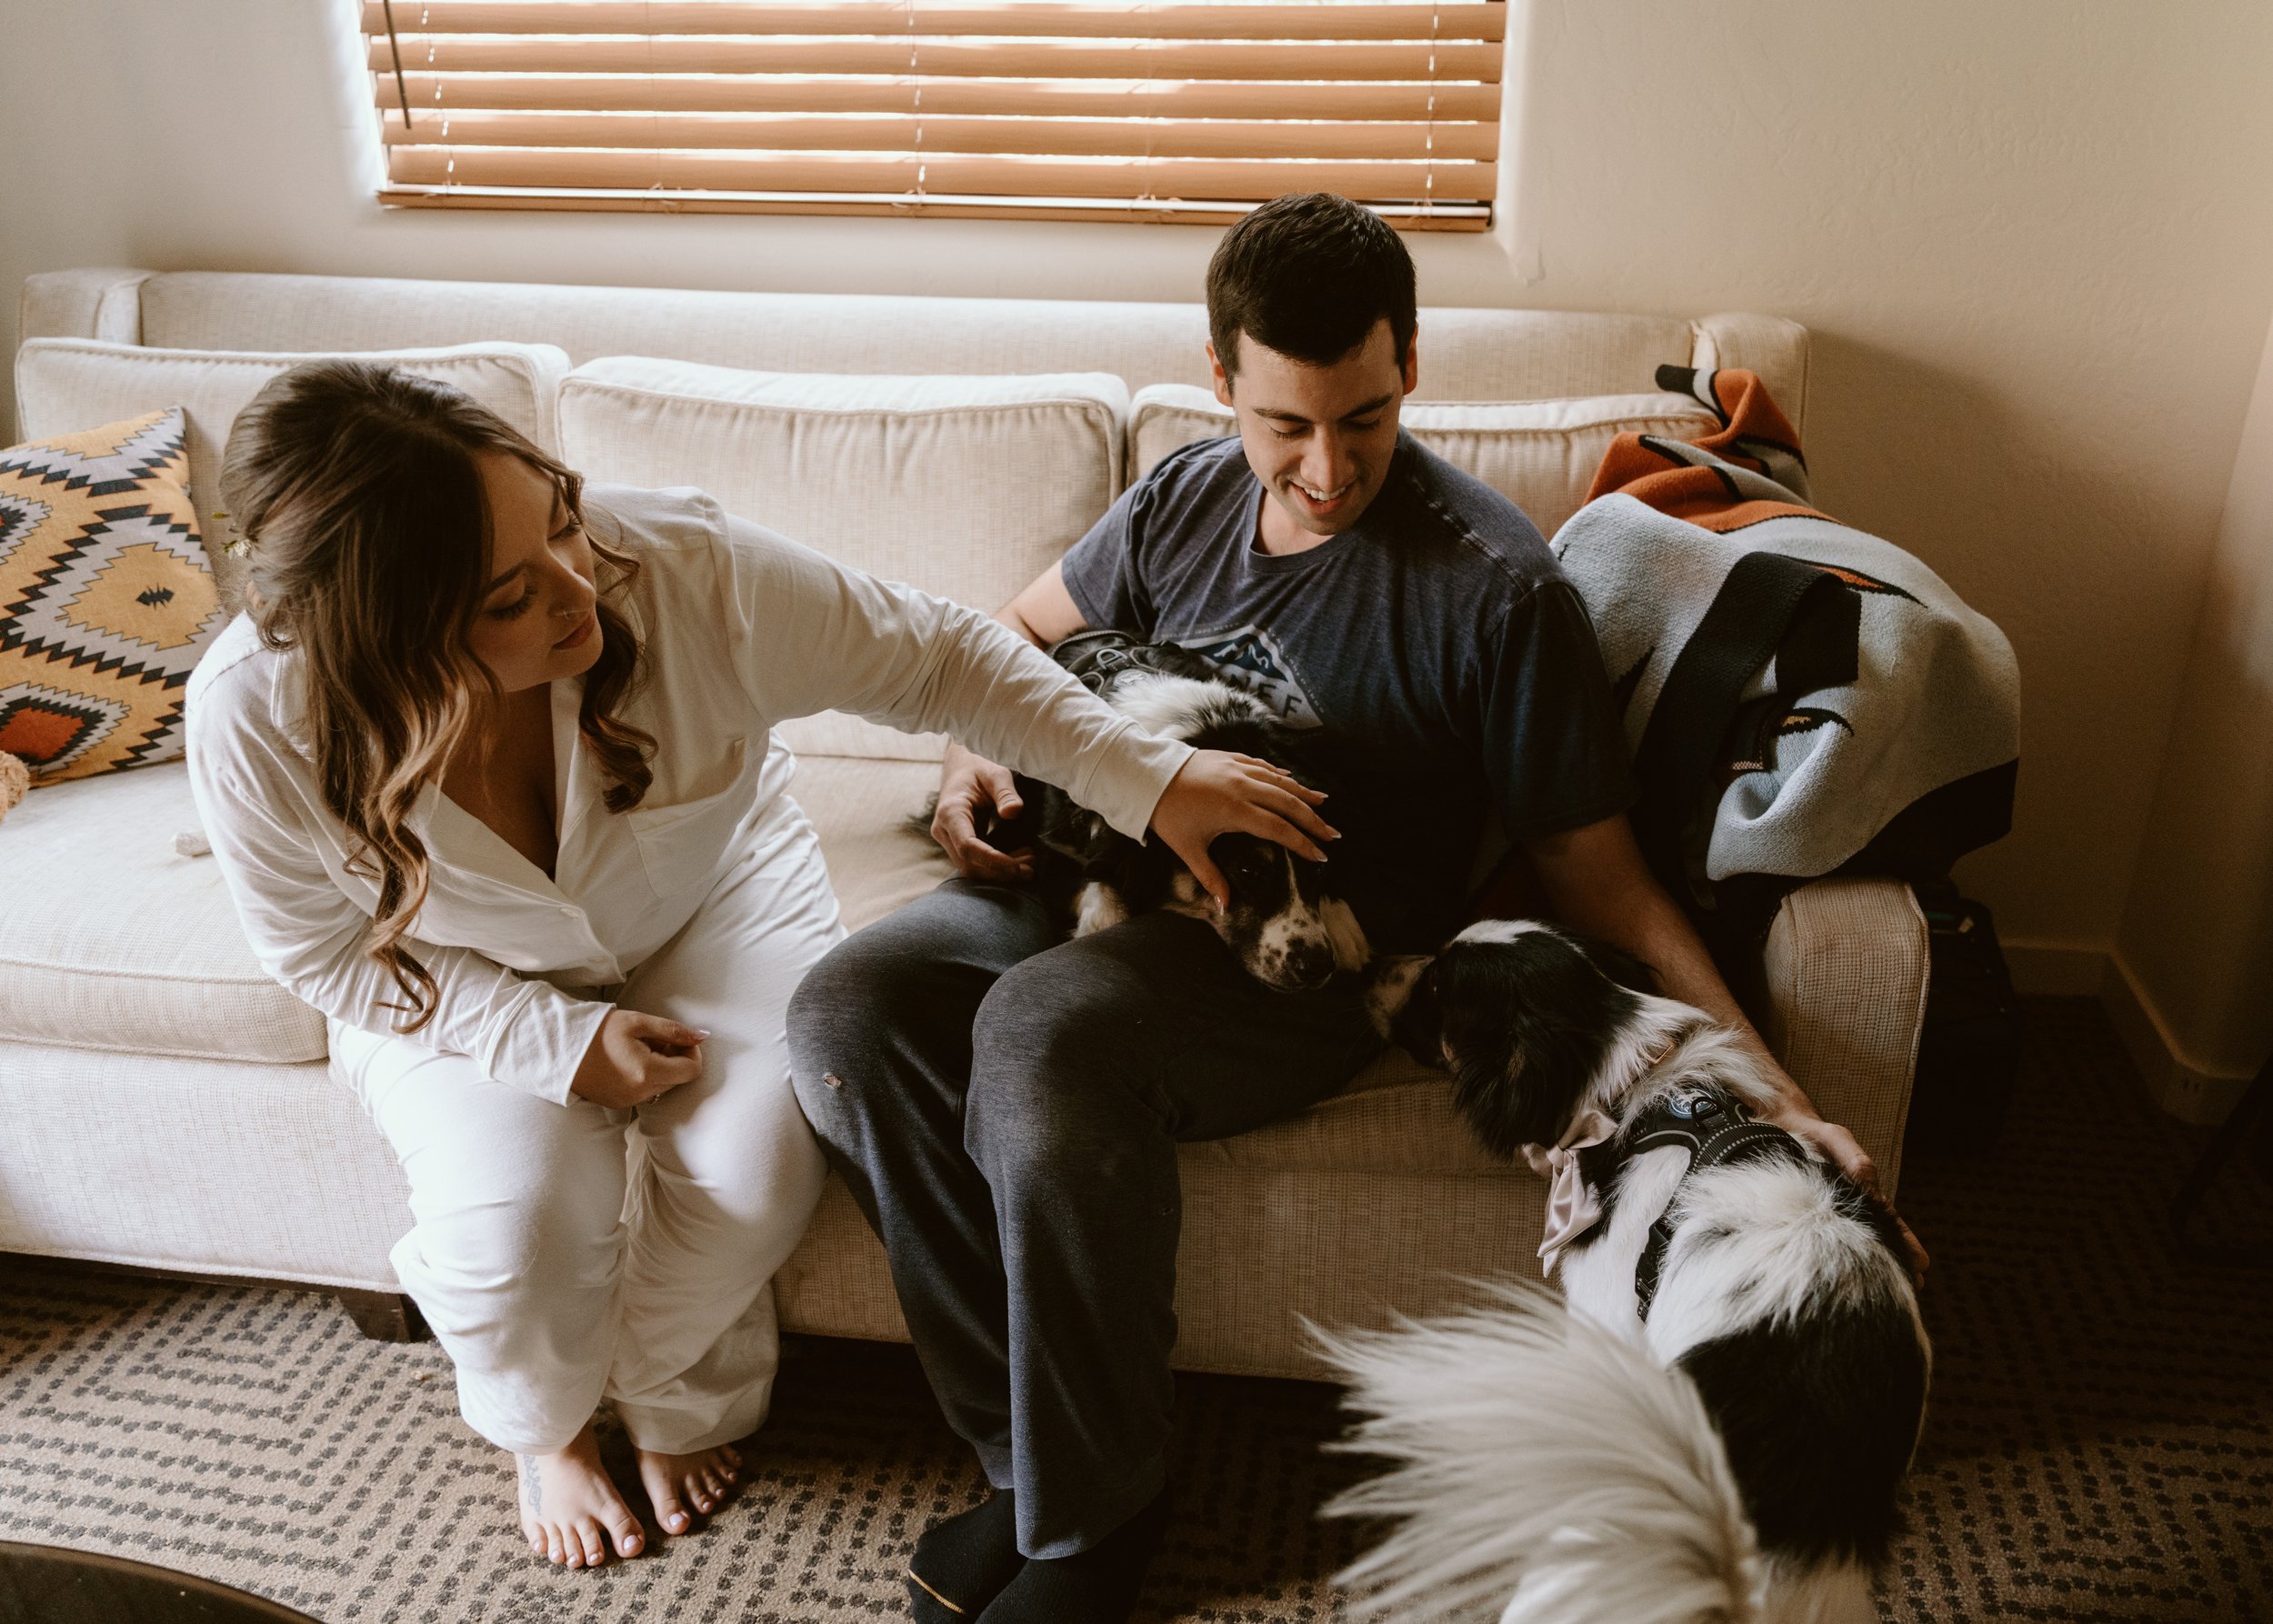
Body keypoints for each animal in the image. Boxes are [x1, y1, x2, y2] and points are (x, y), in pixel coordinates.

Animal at [973, 627, 1364, 987]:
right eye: (1247, 871)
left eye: (1319, 868)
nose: (1317, 967)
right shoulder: (1056, 851)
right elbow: (1101, 882)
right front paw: (1101, 918)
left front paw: (1341, 924)